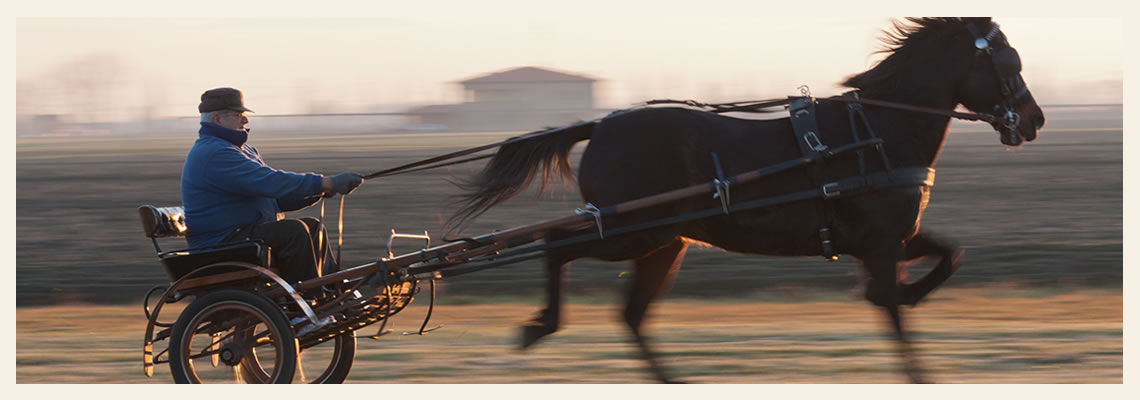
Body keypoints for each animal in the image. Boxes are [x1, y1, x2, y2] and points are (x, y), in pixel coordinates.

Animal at [442, 17, 1044, 382]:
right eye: (1009, 61)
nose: (1034, 119)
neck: (876, 131)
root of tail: (602, 124)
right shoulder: (877, 244)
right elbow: (898, 314)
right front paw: (902, 322)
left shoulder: (893, 238)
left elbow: (950, 256)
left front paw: (899, 295)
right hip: (630, 232)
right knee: (555, 244)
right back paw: (541, 323)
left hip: (662, 242)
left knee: (632, 315)